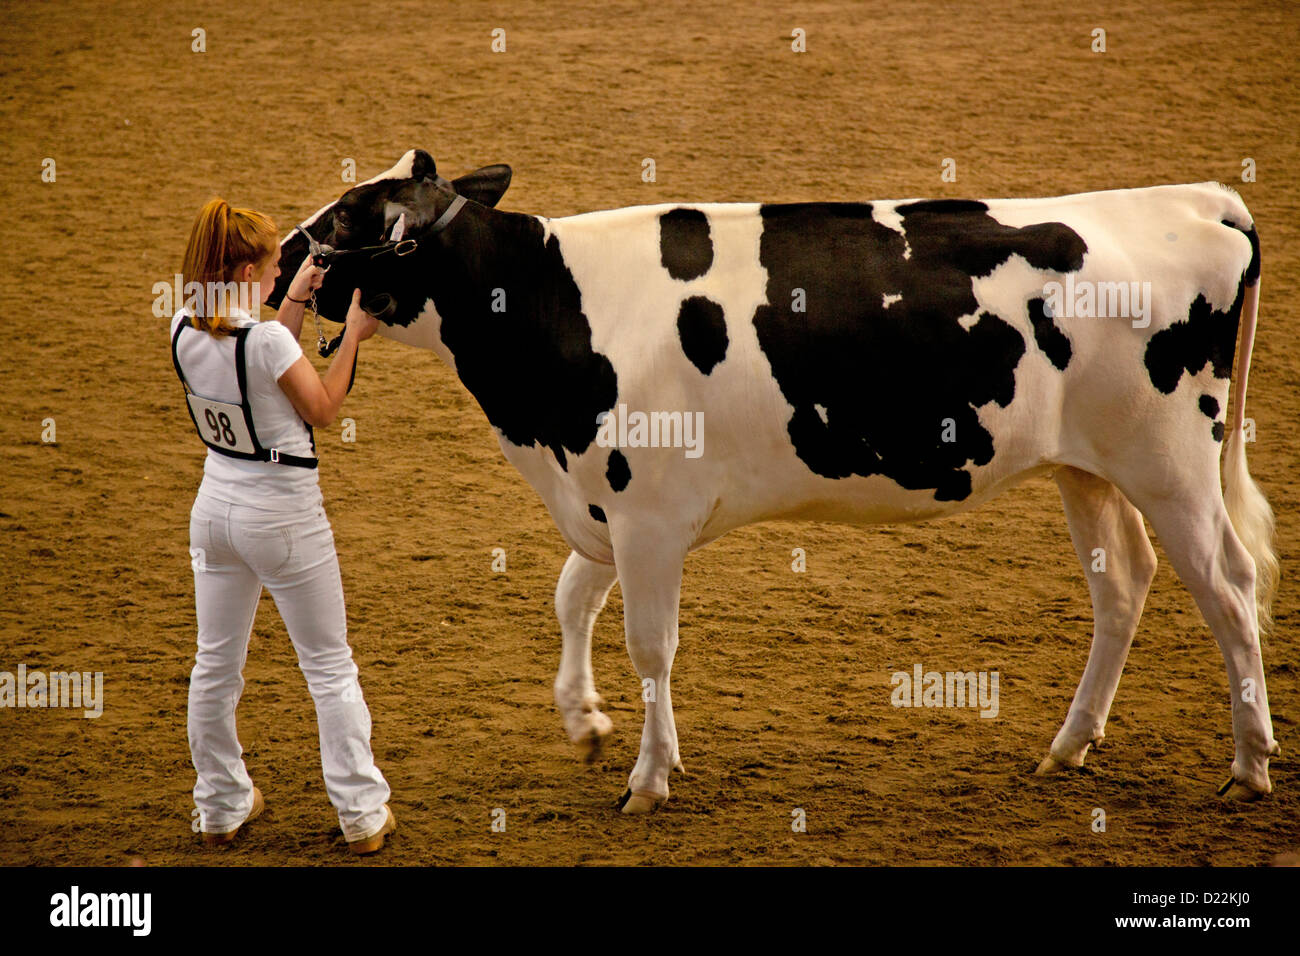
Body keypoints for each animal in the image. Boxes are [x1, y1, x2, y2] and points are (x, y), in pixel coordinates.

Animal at [266, 151, 1279, 816]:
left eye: (350, 217)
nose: (279, 257)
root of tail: (1199, 201)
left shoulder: (647, 513)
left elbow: (649, 645)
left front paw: (648, 779)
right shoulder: (606, 501)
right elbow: (570, 599)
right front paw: (585, 721)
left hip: (1174, 465)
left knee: (1229, 590)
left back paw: (1251, 763)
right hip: (1089, 469)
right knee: (1127, 584)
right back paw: (1069, 749)